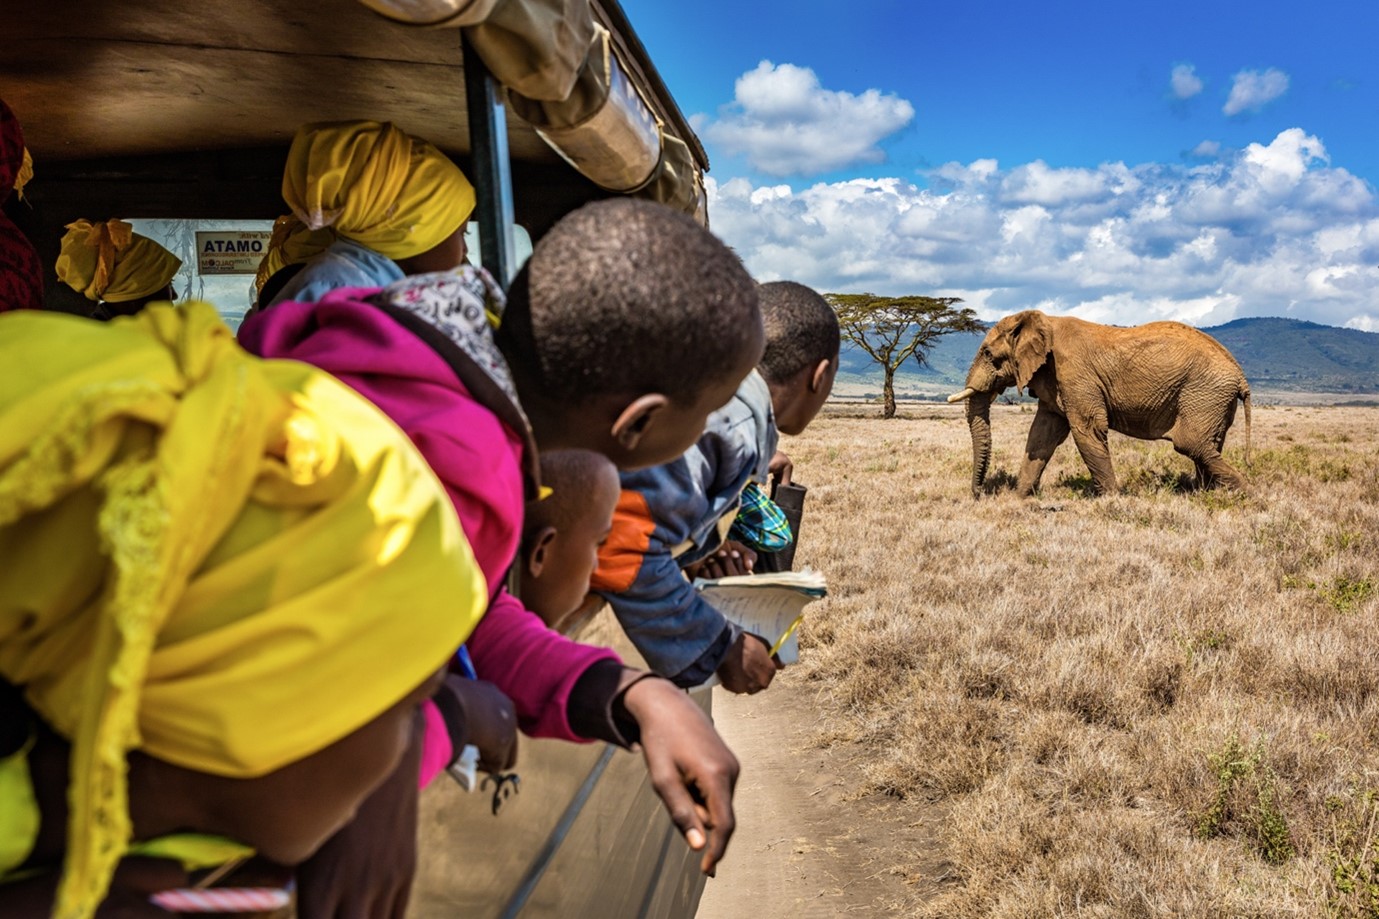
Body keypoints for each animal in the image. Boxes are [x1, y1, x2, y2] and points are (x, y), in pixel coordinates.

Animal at [948, 307, 1252, 493]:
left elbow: (1087, 430)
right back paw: (1208, 493)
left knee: (1191, 443)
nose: (979, 493)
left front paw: (1112, 500)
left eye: (988, 354)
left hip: (1204, 392)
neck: (1044, 320)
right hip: (1211, 399)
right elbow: (1042, 435)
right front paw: (1018, 499)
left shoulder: (1074, 374)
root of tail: (1240, 376)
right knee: (1207, 445)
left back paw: (1246, 493)